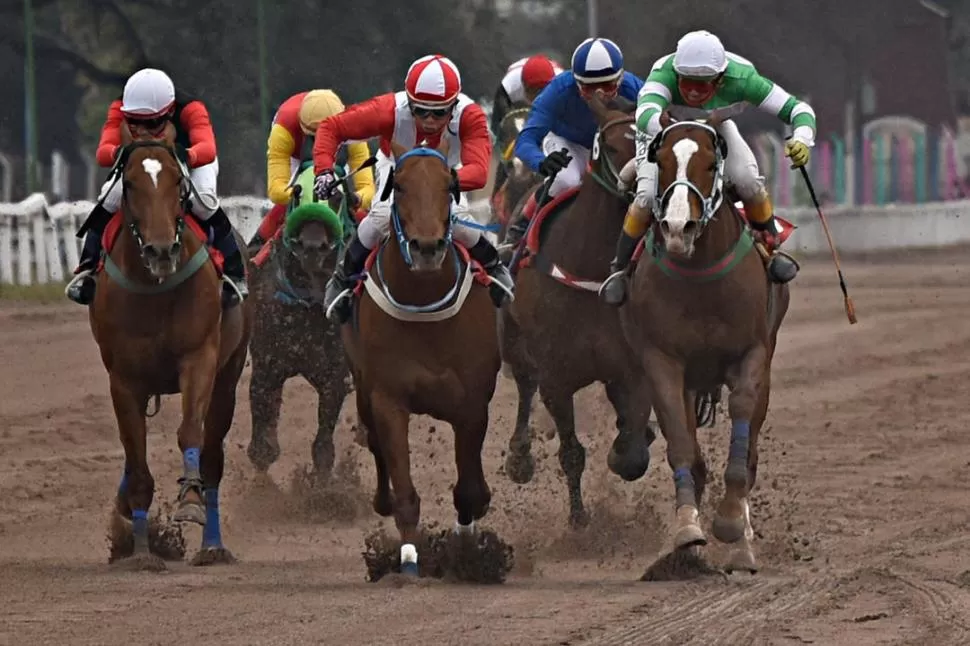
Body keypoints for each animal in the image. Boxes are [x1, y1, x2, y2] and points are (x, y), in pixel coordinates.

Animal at [86, 121, 251, 572]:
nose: (161, 250)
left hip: (228, 377)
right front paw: (141, 551)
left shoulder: (200, 360)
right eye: (128, 183)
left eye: (178, 180)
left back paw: (212, 546)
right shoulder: (124, 379)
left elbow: (190, 432)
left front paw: (189, 500)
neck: (153, 288)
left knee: (212, 457)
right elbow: (136, 459)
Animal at [246, 167, 360, 480]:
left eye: (336, 197)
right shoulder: (267, 364)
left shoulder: (334, 374)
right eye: (297, 193)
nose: (312, 247)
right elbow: (263, 448)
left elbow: (323, 448)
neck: (307, 302)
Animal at [340, 139, 500, 580]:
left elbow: (469, 490)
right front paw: (410, 558)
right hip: (362, 388)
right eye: (400, 187)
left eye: (449, 186)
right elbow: (404, 487)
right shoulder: (387, 399)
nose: (427, 248)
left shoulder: (472, 402)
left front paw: (467, 553)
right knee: (374, 445)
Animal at [496, 97, 656, 532]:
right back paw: (519, 457)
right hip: (513, 340)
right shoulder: (556, 377)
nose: (646, 191)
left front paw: (628, 446)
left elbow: (633, 452)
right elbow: (571, 452)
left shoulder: (631, 369)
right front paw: (579, 520)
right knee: (524, 385)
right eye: (613, 146)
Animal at [616, 109, 792, 576]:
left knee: (750, 454)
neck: (701, 280)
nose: (679, 228)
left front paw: (731, 525)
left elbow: (743, 443)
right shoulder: (663, 362)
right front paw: (687, 531)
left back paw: (743, 549)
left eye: (712, 165)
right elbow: (681, 444)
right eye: (659, 163)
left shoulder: (751, 355)